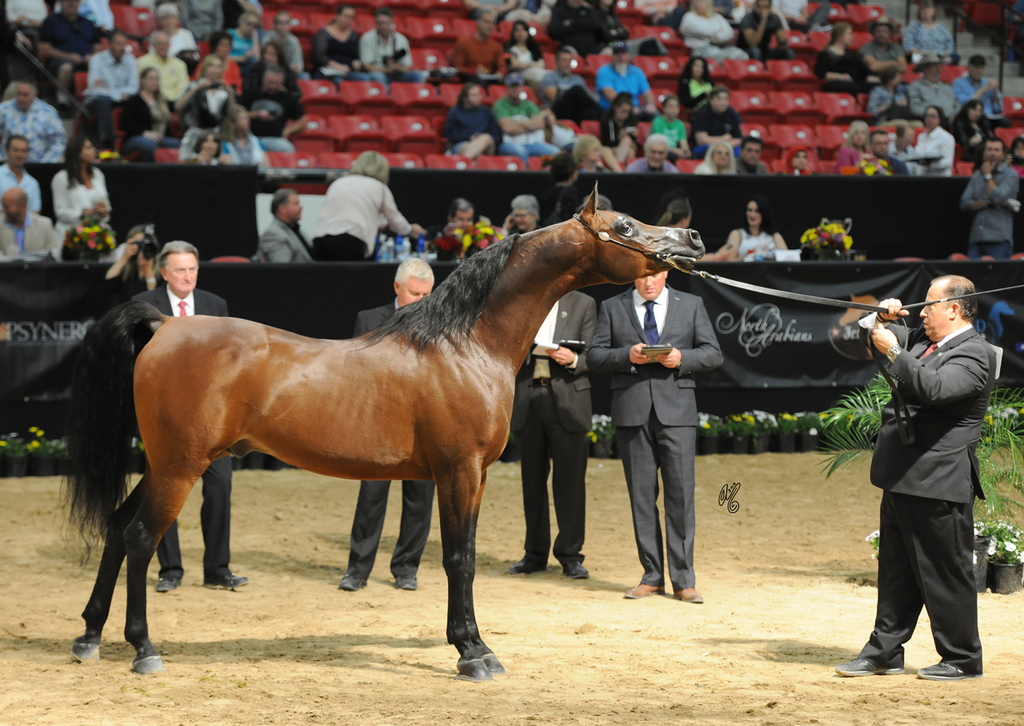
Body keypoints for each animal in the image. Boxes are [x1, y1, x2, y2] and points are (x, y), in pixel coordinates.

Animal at [63, 187, 705, 682]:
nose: (694, 239)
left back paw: (89, 637)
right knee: (140, 537)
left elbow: (464, 555)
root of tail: (164, 326)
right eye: (625, 226)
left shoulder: (471, 476)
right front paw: (473, 653)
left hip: (163, 463)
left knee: (117, 529)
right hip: (180, 465)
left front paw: (472, 644)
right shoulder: (458, 471)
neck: (464, 344)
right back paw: (143, 649)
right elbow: (459, 559)